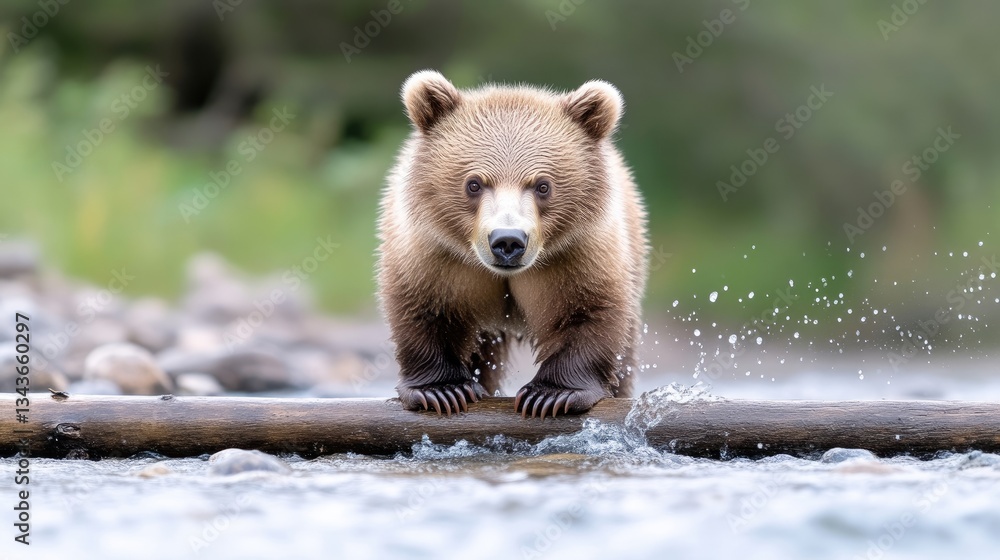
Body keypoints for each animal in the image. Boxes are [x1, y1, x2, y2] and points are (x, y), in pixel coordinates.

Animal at [377, 70, 649, 418]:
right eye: (474, 184)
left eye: (543, 185)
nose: (507, 240)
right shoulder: (435, 252)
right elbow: (423, 308)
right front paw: (442, 390)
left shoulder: (577, 252)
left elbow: (588, 310)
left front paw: (552, 395)